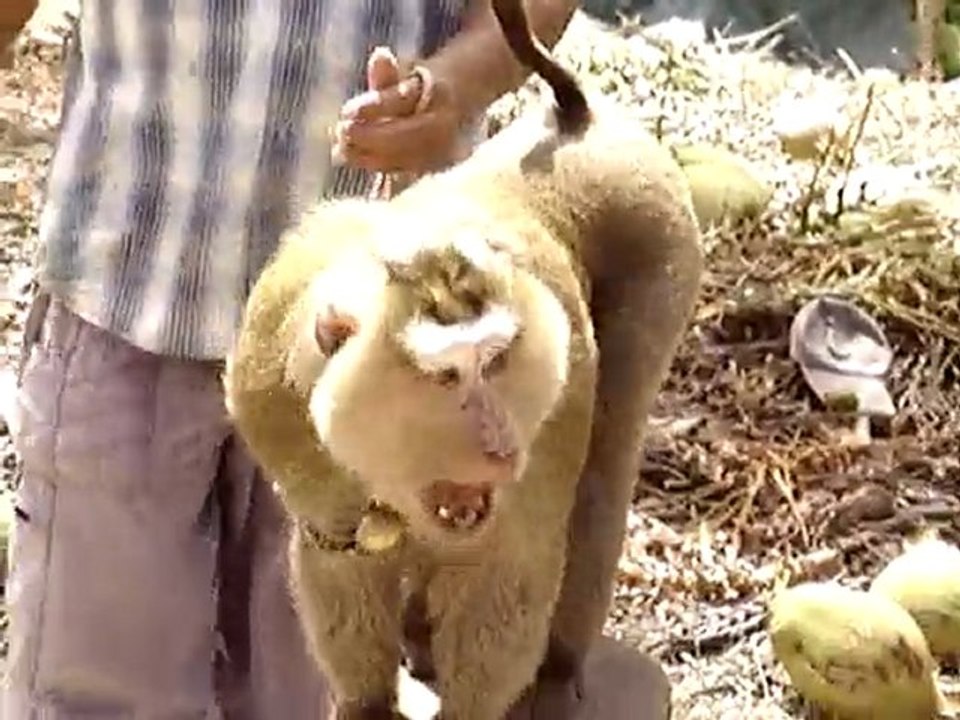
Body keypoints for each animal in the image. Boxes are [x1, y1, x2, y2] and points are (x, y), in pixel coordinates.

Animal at [223, 0, 704, 718]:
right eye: (446, 376)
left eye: (496, 360)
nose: (501, 447)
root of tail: (576, 121)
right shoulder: (274, 380)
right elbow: (336, 554)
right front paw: (366, 702)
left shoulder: (550, 419)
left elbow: (508, 573)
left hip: (662, 246)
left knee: (604, 468)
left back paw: (558, 670)